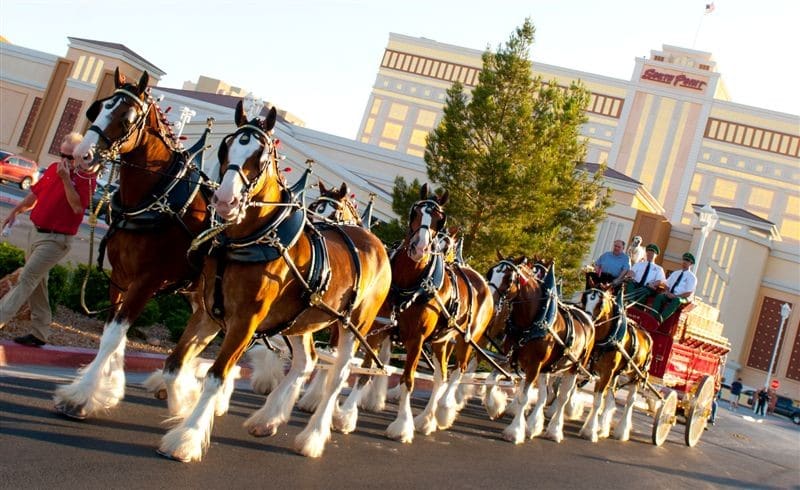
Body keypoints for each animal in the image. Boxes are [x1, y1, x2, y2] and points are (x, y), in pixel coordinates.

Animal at [53, 69, 212, 420]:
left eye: (126, 119)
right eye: (97, 109)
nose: (82, 155)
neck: (159, 198)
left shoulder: (147, 282)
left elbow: (114, 335)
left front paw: (82, 396)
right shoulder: (121, 277)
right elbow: (112, 334)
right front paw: (108, 389)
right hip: (200, 295)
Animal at [155, 101, 392, 462]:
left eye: (262, 155)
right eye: (226, 146)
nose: (224, 200)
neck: (252, 238)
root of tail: (377, 244)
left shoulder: (245, 321)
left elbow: (217, 376)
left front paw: (187, 439)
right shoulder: (208, 313)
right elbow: (175, 363)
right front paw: (182, 403)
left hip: (356, 325)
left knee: (339, 374)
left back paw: (313, 437)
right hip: (302, 319)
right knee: (307, 362)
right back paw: (267, 419)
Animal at [482, 256, 592, 444]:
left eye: (509, 279)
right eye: (490, 272)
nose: (489, 301)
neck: (533, 322)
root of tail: (587, 316)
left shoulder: (534, 366)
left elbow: (523, 397)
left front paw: (514, 431)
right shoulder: (509, 359)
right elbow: (490, 380)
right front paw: (494, 408)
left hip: (574, 368)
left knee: (563, 398)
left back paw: (555, 430)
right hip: (546, 368)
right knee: (543, 395)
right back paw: (533, 425)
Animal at [580, 282, 652, 442]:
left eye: (600, 303)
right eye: (584, 298)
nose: (587, 320)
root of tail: (648, 335)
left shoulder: (607, 373)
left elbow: (598, 401)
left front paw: (590, 431)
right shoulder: (597, 370)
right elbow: (599, 399)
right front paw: (594, 427)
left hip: (637, 376)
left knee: (630, 401)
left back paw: (622, 431)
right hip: (617, 373)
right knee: (610, 396)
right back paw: (603, 427)